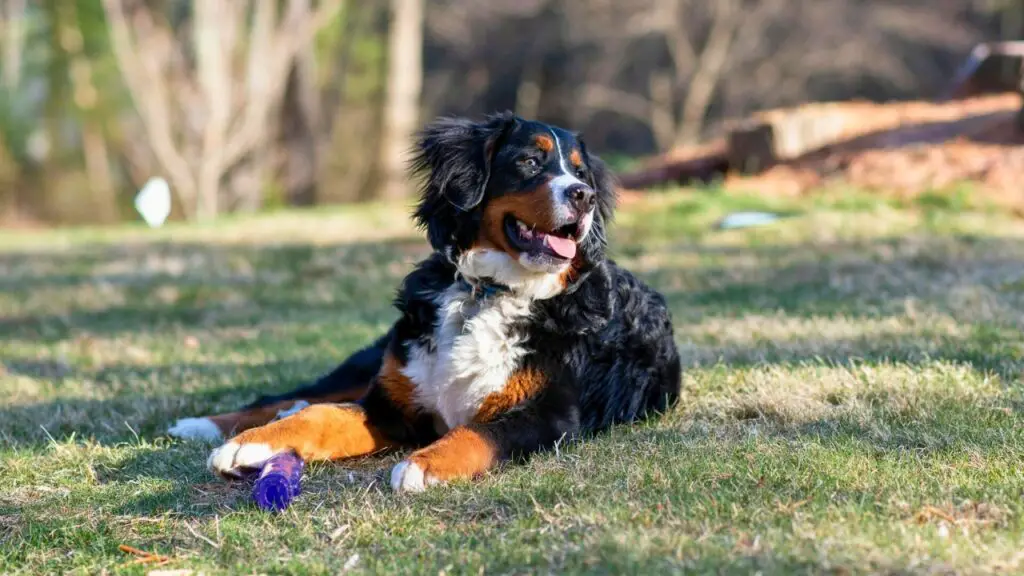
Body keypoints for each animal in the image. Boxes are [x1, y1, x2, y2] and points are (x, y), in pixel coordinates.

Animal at [165, 113, 679, 494]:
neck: (486, 292)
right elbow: (323, 415)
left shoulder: (551, 415)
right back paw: (203, 425)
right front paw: (249, 445)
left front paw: (425, 464)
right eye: (531, 161)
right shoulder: (392, 404)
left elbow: (480, 432)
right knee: (293, 397)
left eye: (581, 172)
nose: (583, 196)